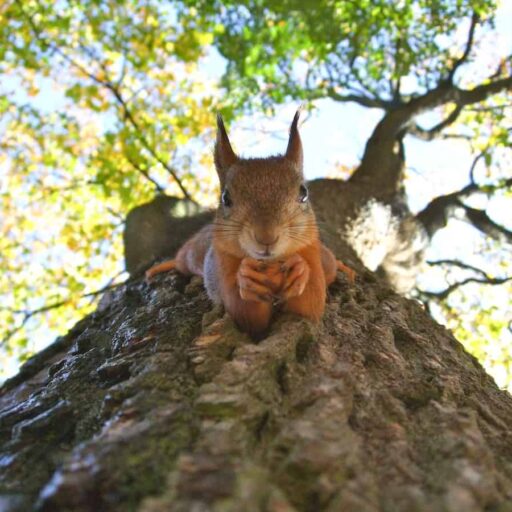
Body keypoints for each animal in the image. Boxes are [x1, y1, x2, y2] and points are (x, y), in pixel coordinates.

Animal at [146, 110, 354, 338]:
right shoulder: (222, 265)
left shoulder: (312, 254)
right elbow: (246, 315)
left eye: (304, 193)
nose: (266, 237)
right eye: (226, 198)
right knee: (181, 260)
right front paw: (246, 277)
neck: (271, 266)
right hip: (193, 254)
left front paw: (300, 269)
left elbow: (310, 304)